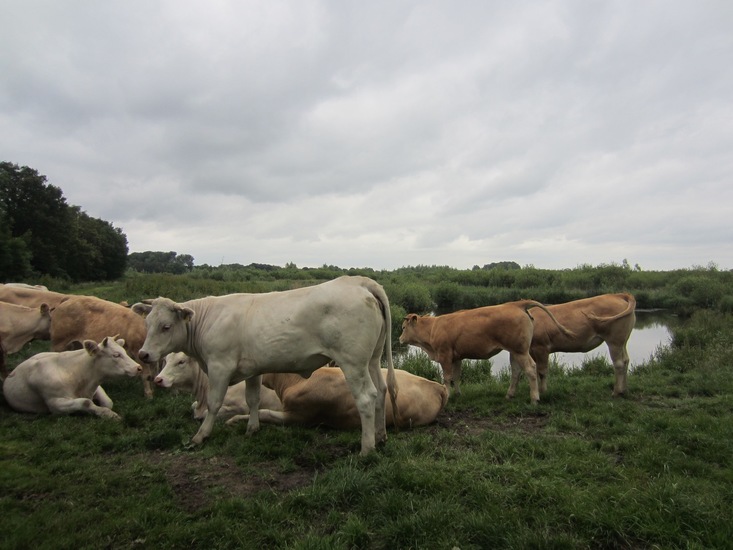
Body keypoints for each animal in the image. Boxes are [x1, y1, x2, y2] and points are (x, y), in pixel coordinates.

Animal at [2, 337, 142, 419]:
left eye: (124, 352)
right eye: (116, 355)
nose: (138, 367)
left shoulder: (96, 386)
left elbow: (108, 402)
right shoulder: (55, 403)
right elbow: (86, 402)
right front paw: (109, 414)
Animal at [132, 275, 399, 455]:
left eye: (166, 326)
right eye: (147, 322)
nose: (144, 354)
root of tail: (358, 281)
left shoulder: (220, 365)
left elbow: (214, 402)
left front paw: (201, 436)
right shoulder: (253, 369)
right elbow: (253, 399)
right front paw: (252, 429)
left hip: (353, 362)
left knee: (366, 397)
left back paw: (366, 448)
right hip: (372, 359)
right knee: (381, 391)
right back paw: (380, 437)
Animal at [399, 300, 574, 403]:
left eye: (403, 327)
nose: (400, 339)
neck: (433, 328)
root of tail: (515, 304)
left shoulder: (445, 356)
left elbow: (447, 378)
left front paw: (447, 396)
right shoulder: (457, 357)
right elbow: (456, 377)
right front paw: (458, 394)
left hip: (521, 350)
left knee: (531, 369)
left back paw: (534, 398)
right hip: (514, 352)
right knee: (516, 372)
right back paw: (510, 394)